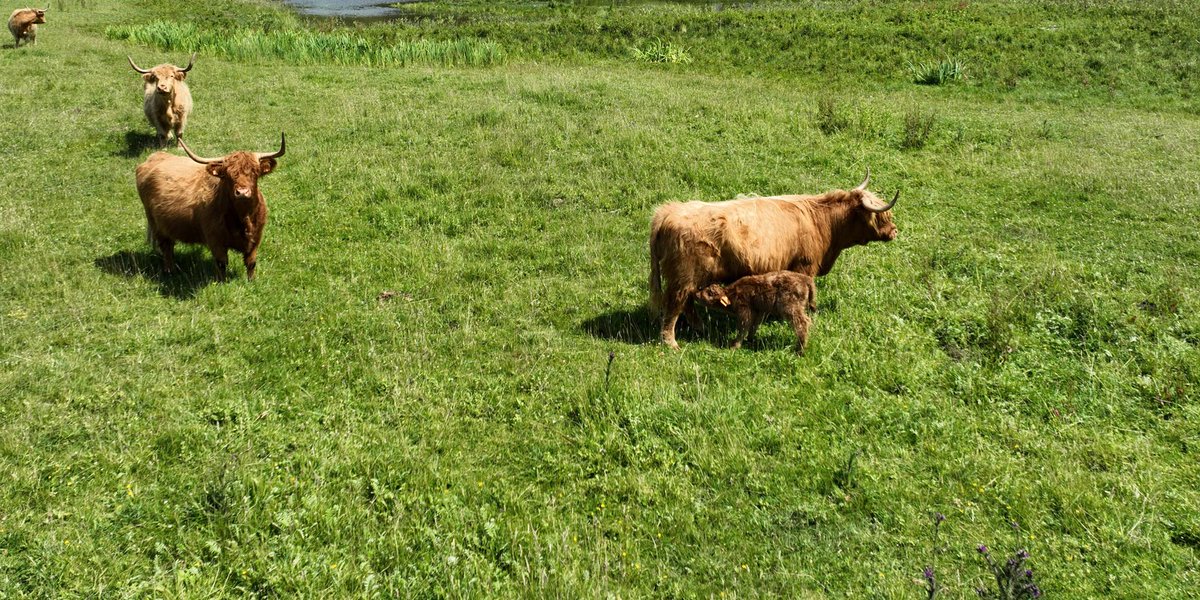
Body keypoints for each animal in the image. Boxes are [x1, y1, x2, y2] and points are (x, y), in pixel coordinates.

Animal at [135, 134, 285, 281]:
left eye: (255, 172)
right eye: (227, 175)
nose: (242, 192)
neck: (243, 217)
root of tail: (155, 157)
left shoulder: (256, 237)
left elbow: (251, 263)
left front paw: (251, 281)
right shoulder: (215, 239)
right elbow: (221, 263)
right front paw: (222, 282)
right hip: (156, 224)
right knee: (165, 246)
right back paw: (169, 271)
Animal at [649, 171, 898, 349]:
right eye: (881, 216)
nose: (895, 231)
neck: (822, 222)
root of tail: (667, 212)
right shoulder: (804, 268)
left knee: (687, 303)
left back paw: (700, 328)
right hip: (683, 277)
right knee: (675, 305)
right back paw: (671, 343)